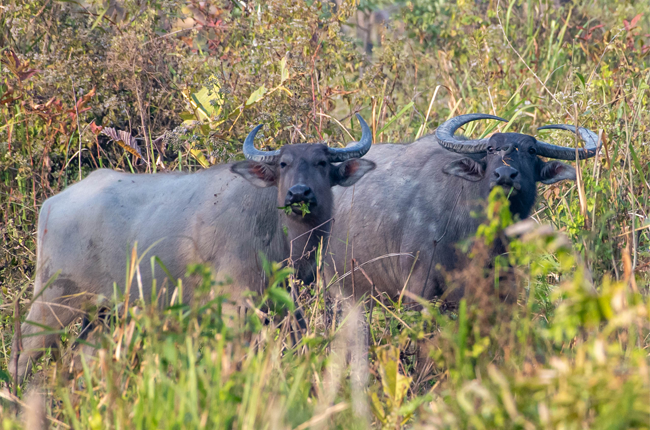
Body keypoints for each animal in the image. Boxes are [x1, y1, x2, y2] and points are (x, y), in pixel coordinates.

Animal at [8, 115, 374, 382]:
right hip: (55, 297)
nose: (299, 193)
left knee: (81, 359)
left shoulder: (288, 303)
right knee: (23, 351)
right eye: (284, 163)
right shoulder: (234, 303)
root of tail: (53, 203)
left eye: (322, 163)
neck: (278, 230)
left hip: (103, 312)